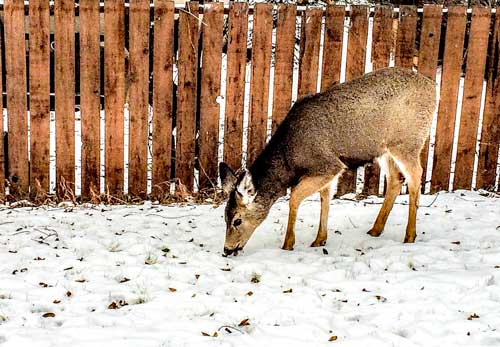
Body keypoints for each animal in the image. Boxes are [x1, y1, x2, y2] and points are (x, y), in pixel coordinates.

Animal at [221, 68, 436, 258]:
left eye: (237, 220)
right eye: (224, 216)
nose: (227, 249)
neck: (290, 159)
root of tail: (433, 88)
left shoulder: (328, 164)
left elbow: (294, 197)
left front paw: (288, 244)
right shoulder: (327, 170)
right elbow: (325, 197)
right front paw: (320, 239)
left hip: (408, 141)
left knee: (416, 175)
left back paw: (410, 235)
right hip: (385, 149)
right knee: (395, 179)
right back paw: (375, 229)